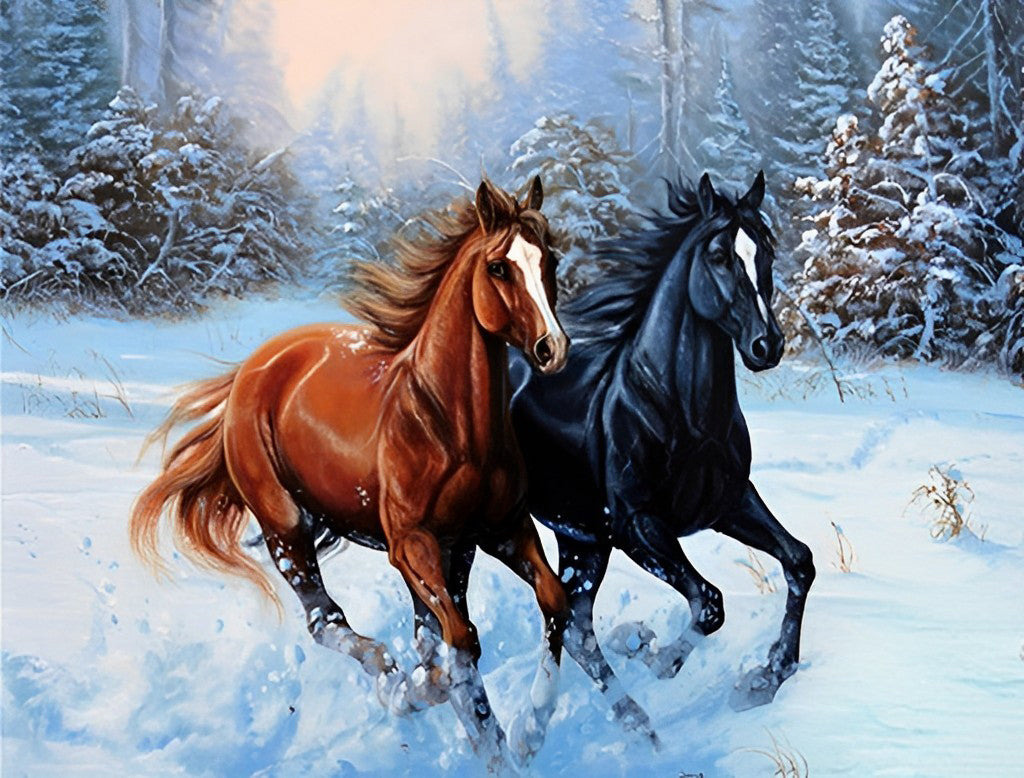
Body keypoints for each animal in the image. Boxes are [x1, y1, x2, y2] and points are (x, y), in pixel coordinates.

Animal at [130, 178, 571, 768]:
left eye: (550, 260)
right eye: (499, 267)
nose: (553, 349)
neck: (450, 425)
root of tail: (252, 370)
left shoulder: (498, 532)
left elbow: (550, 602)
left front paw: (528, 731)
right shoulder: (411, 545)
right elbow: (461, 642)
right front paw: (433, 699)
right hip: (286, 530)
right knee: (327, 620)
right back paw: (393, 681)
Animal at [507, 171, 816, 741]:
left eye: (766, 250)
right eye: (718, 255)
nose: (768, 346)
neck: (682, 413)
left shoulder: (729, 504)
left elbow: (799, 562)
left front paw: (762, 681)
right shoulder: (639, 526)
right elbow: (709, 605)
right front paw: (653, 654)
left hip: (581, 538)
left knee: (575, 622)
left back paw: (597, 729)